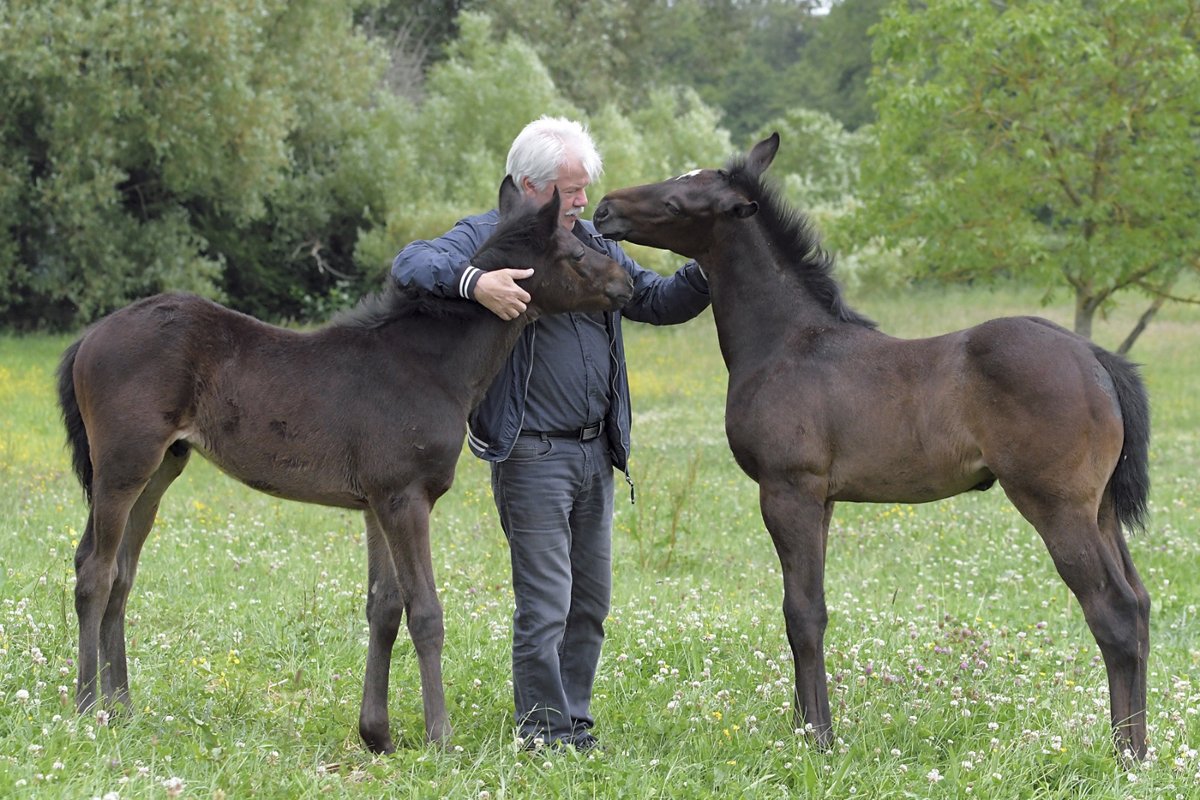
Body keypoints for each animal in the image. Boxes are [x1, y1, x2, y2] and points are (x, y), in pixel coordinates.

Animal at [57, 176, 634, 754]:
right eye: (574, 252)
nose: (627, 282)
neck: (430, 366)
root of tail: (89, 336)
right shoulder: (406, 498)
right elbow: (425, 612)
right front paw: (440, 737)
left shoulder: (377, 503)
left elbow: (384, 607)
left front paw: (376, 734)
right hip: (123, 466)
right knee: (95, 571)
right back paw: (87, 708)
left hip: (160, 470)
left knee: (122, 574)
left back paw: (122, 707)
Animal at [593, 134, 1152, 760]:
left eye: (676, 203)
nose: (605, 210)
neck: (786, 342)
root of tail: (1094, 357)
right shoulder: (823, 501)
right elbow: (803, 604)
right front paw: (802, 726)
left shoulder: (789, 491)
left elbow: (803, 612)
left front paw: (819, 737)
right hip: (1100, 509)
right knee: (1141, 604)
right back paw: (1142, 748)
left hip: (1057, 506)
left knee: (1115, 611)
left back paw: (1126, 755)